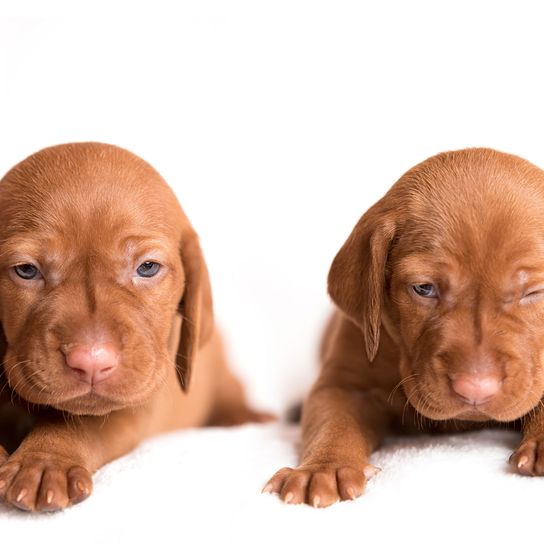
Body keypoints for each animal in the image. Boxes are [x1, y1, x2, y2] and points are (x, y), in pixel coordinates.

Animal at [0, 142, 270, 512]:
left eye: (148, 267)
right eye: (26, 270)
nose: (92, 363)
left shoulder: (137, 403)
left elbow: (81, 425)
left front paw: (45, 460)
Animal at [266, 148, 544, 506]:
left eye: (534, 292)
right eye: (424, 288)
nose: (475, 389)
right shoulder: (344, 382)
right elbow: (332, 421)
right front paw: (324, 468)